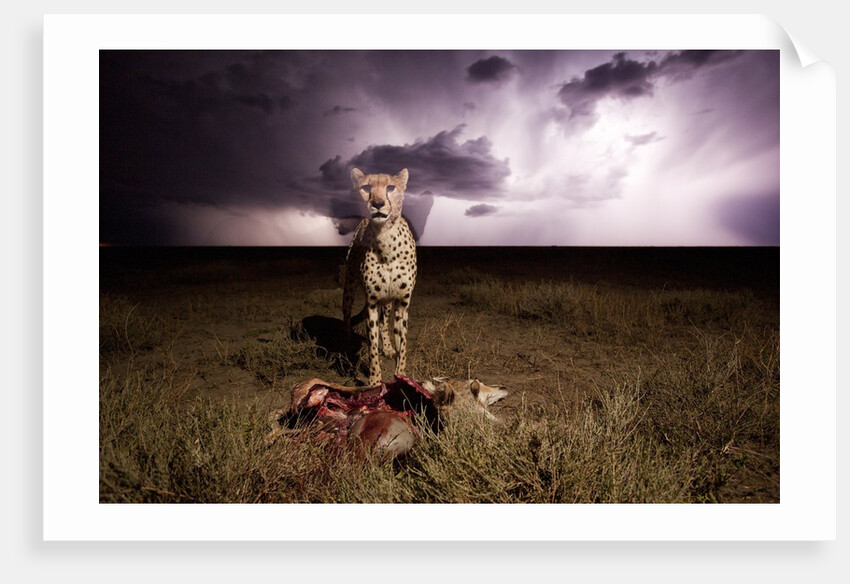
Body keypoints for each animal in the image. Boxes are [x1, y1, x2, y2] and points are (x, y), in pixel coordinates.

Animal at [342, 168, 417, 386]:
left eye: (390, 188)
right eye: (366, 187)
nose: (377, 203)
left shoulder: (402, 303)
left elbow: (402, 344)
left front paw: (401, 376)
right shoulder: (372, 303)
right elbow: (371, 347)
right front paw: (375, 381)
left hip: (389, 301)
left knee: (386, 324)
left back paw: (388, 347)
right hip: (349, 287)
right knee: (346, 316)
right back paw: (346, 343)